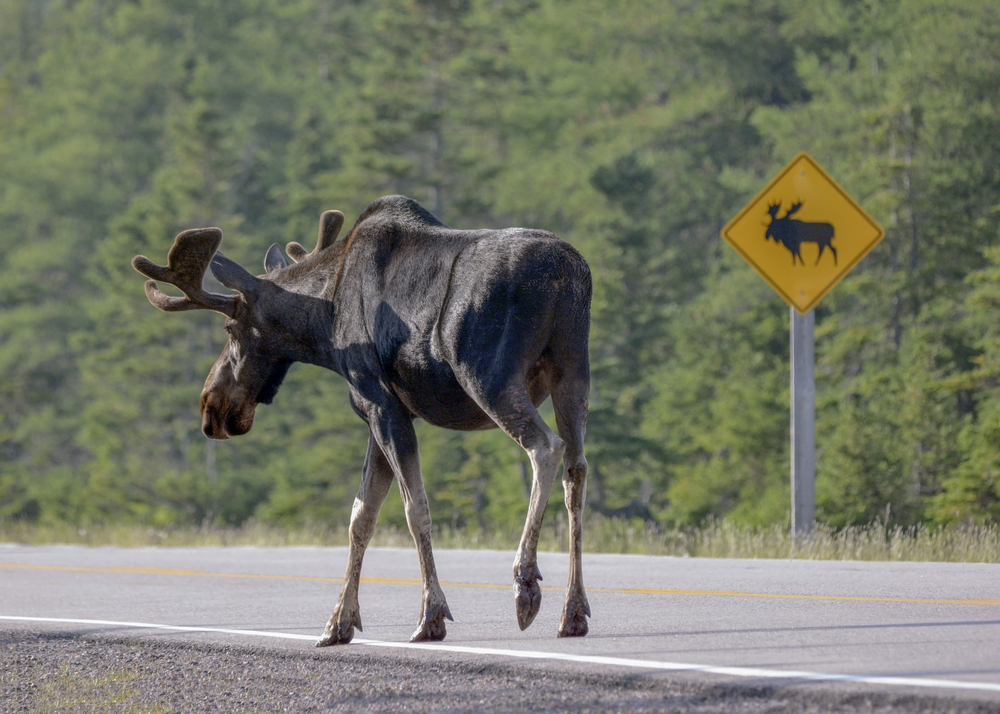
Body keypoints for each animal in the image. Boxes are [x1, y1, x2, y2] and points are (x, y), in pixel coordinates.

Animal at [131, 195, 592, 646]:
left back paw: (525, 583)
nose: (211, 407)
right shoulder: (381, 414)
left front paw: (431, 616)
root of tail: (567, 274)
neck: (325, 324)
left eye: (230, 329)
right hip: (572, 373)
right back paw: (573, 611)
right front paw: (340, 622)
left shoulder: (380, 403)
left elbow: (414, 509)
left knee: (545, 448)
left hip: (489, 375)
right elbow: (361, 516)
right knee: (576, 469)